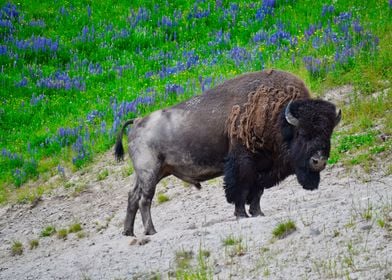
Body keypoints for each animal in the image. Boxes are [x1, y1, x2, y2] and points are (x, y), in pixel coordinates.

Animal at [114, 69, 340, 235]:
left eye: (328, 132)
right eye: (302, 133)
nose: (319, 161)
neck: (277, 116)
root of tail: (138, 121)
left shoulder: (263, 167)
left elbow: (257, 192)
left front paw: (258, 213)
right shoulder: (243, 164)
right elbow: (240, 190)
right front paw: (242, 214)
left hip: (154, 172)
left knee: (132, 196)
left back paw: (128, 232)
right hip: (150, 172)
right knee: (144, 199)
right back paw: (151, 231)